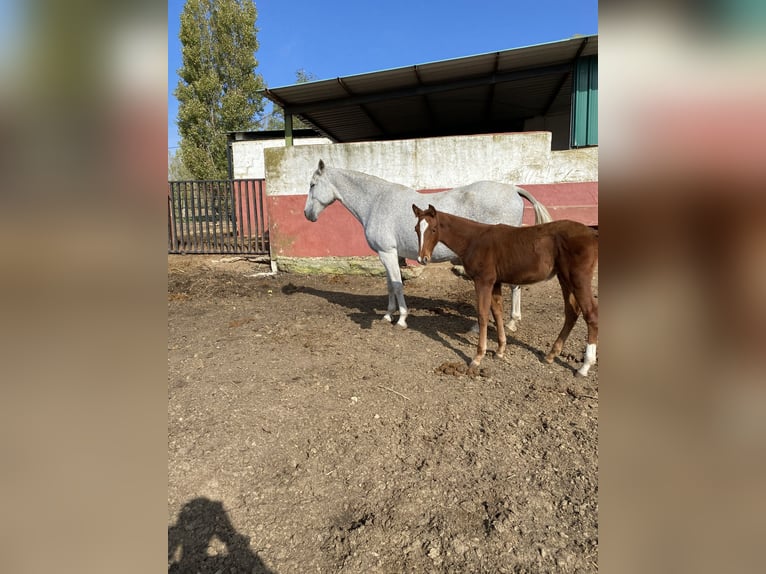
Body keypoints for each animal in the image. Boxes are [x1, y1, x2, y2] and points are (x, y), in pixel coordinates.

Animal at [306, 162, 552, 330]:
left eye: (312, 185)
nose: (307, 214)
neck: (377, 201)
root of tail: (513, 189)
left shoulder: (387, 252)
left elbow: (397, 285)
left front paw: (402, 319)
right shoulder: (388, 254)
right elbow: (390, 285)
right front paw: (387, 315)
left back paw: (498, 324)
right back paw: (510, 321)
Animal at [414, 205, 600, 376]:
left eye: (433, 229)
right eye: (416, 229)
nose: (422, 258)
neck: (473, 240)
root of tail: (592, 234)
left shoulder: (483, 281)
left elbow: (482, 315)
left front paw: (478, 357)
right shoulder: (495, 282)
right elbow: (497, 312)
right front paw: (500, 350)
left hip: (579, 279)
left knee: (590, 314)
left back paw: (584, 367)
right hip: (564, 278)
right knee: (572, 312)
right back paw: (551, 355)